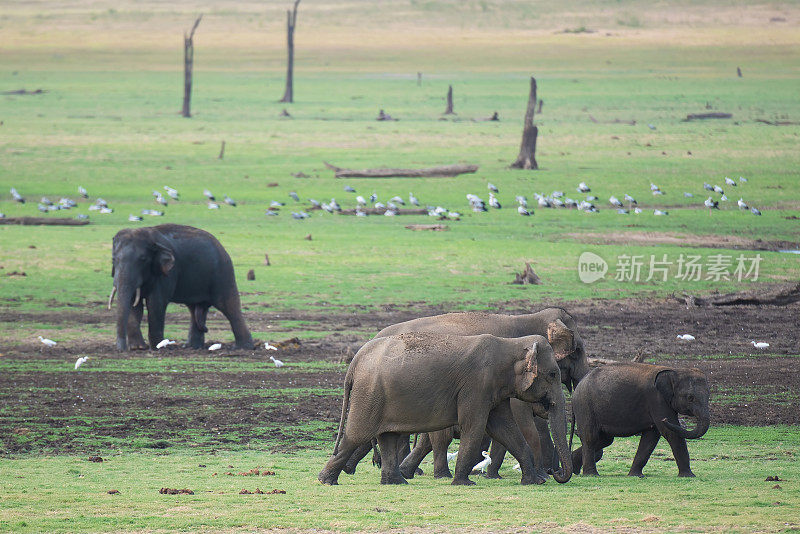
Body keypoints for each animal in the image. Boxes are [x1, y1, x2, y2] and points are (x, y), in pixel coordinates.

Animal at [108, 225, 253, 354]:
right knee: (195, 308)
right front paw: (137, 348)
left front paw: (157, 348)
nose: (122, 350)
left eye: (142, 259)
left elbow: (156, 304)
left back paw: (243, 348)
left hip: (223, 273)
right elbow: (134, 305)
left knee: (228, 306)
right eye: (113, 259)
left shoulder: (168, 273)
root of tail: (221, 246)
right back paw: (191, 347)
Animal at [316, 332, 572, 488]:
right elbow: (475, 427)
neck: (510, 344)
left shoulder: (494, 391)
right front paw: (464, 484)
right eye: (553, 374)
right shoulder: (476, 386)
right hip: (369, 394)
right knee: (356, 435)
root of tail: (356, 360)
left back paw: (397, 482)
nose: (554, 473)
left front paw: (533, 482)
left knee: (387, 437)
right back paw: (326, 481)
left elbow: (504, 428)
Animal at [572, 362, 708, 480]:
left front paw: (635, 475)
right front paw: (689, 476)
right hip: (585, 407)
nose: (664, 419)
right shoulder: (657, 399)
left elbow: (651, 437)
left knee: (605, 440)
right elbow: (670, 433)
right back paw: (591, 474)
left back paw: (575, 467)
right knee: (591, 438)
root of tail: (578, 385)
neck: (674, 370)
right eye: (690, 398)